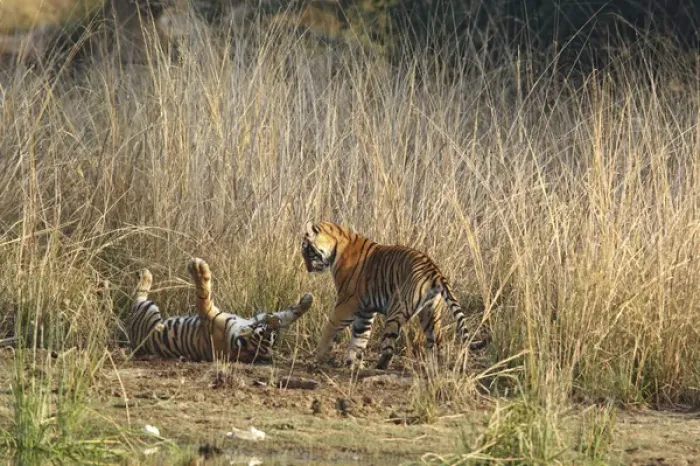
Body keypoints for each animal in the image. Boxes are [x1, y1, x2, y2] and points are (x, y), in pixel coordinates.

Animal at [128, 257, 313, 364]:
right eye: (269, 331)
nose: (272, 321)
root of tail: (133, 341)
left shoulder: (209, 314)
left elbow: (203, 294)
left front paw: (198, 268)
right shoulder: (260, 317)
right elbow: (289, 314)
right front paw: (308, 299)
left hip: (148, 309)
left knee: (139, 296)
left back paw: (145, 275)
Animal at [301, 221, 483, 370]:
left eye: (307, 251)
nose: (308, 269)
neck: (337, 245)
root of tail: (434, 270)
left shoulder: (346, 303)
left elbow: (330, 328)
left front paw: (320, 355)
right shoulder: (365, 311)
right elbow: (359, 338)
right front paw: (352, 363)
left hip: (397, 310)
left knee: (389, 349)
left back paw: (378, 367)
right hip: (430, 314)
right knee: (437, 342)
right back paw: (434, 368)